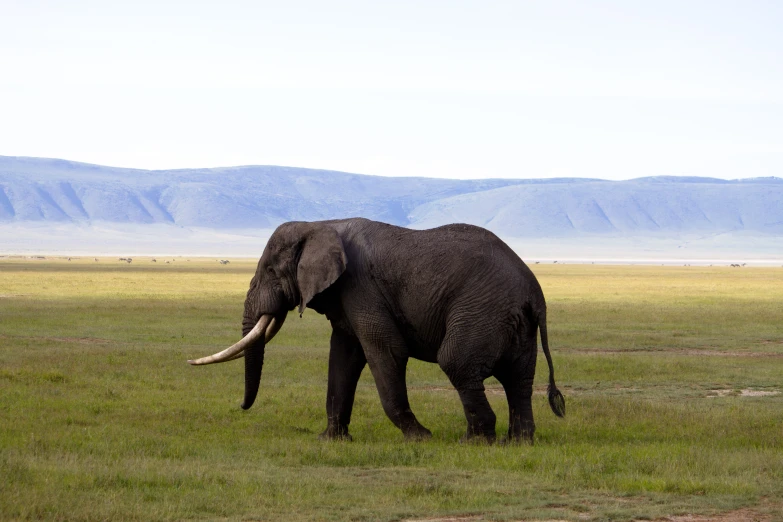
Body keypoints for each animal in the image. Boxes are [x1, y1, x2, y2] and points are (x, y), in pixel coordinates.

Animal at [189, 217, 564, 440]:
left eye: (269, 270)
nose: (240, 408)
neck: (322, 224)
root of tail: (535, 293)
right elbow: (343, 356)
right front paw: (332, 440)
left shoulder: (361, 287)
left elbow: (384, 351)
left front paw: (421, 438)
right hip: (514, 321)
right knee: (519, 379)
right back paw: (518, 442)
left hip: (482, 310)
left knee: (456, 362)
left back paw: (475, 442)